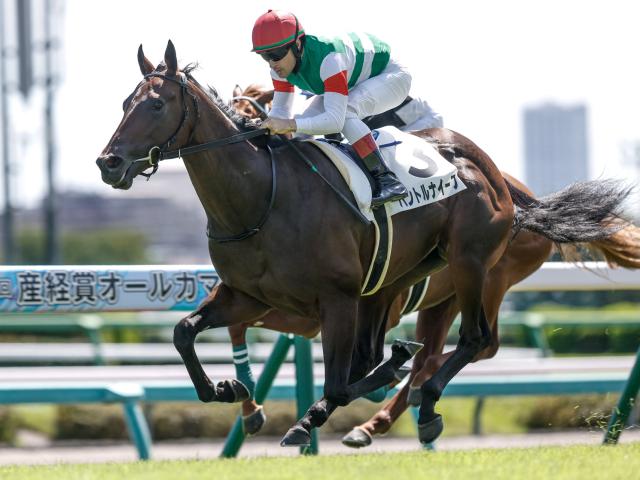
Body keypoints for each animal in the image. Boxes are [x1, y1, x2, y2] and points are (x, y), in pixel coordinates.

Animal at [96, 40, 631, 446]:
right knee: (427, 352)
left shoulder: (336, 299)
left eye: (157, 104)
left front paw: (308, 413)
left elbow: (338, 382)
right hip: (411, 277)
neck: (261, 199)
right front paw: (228, 388)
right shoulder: (248, 295)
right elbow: (184, 332)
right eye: (123, 104)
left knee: (472, 341)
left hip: (472, 266)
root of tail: (501, 181)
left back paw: (417, 404)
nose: (109, 163)